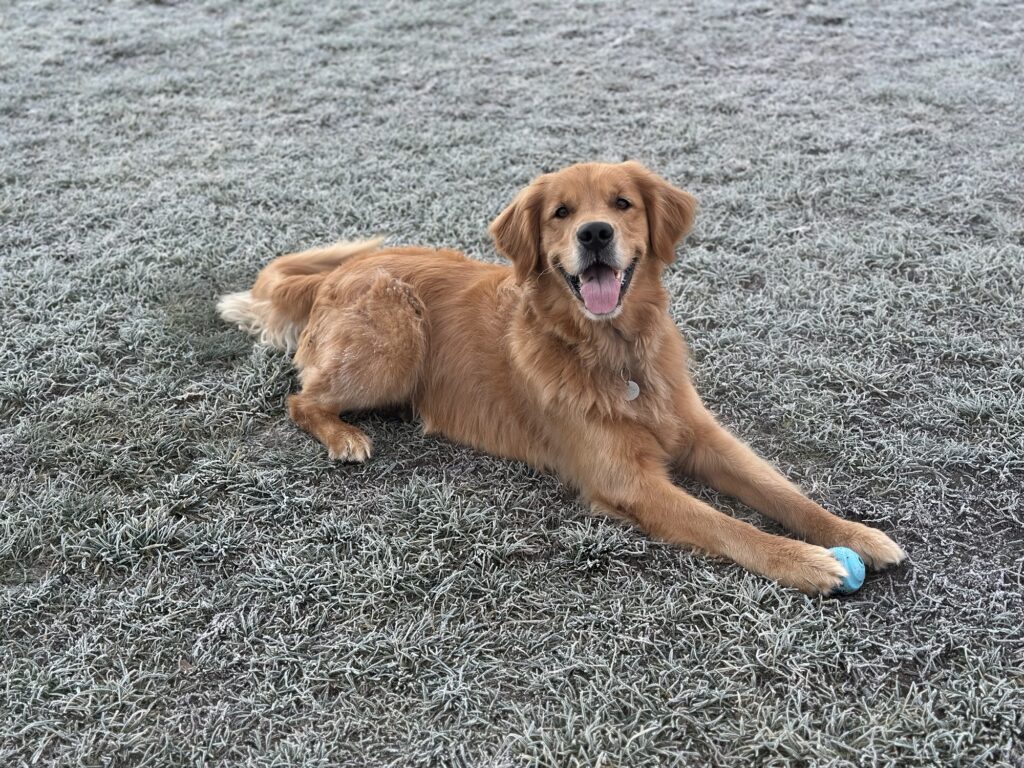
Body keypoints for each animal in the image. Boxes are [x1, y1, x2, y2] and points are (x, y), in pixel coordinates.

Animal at [218, 160, 905, 593]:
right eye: (560, 212)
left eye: (622, 204)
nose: (594, 232)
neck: (615, 355)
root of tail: (338, 271)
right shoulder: (628, 481)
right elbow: (729, 525)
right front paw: (810, 563)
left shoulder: (703, 436)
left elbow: (783, 492)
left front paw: (853, 536)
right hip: (394, 343)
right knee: (300, 400)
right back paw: (344, 436)